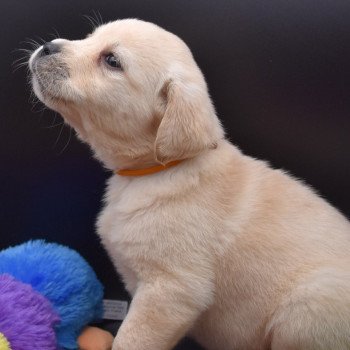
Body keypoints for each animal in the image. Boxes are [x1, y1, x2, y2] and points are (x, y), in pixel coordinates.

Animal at [28, 19, 350, 350]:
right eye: (90, 37)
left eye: (112, 61)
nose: (48, 47)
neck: (160, 169)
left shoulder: (170, 290)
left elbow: (131, 339)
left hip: (307, 305)